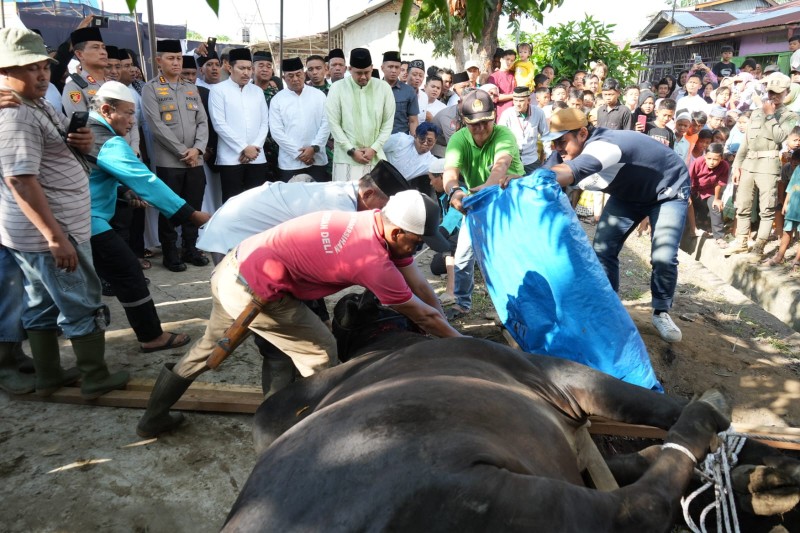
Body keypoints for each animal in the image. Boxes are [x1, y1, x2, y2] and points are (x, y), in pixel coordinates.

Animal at [220, 294, 800, 528]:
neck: (384, 343)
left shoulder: (286, 408)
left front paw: (762, 473)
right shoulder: (561, 376)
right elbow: (657, 405)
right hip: (522, 501)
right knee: (640, 505)